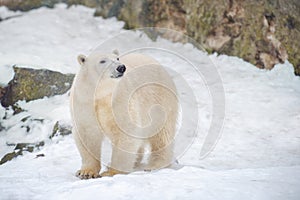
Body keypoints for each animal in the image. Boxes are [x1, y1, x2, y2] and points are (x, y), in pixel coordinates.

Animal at [69, 50, 178, 178]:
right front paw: (87, 172)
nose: (121, 67)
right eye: (102, 61)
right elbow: (87, 133)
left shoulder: (121, 100)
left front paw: (112, 172)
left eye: (117, 58)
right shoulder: (84, 102)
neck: (102, 93)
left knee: (161, 133)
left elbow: (125, 132)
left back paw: (155, 164)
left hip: (160, 99)